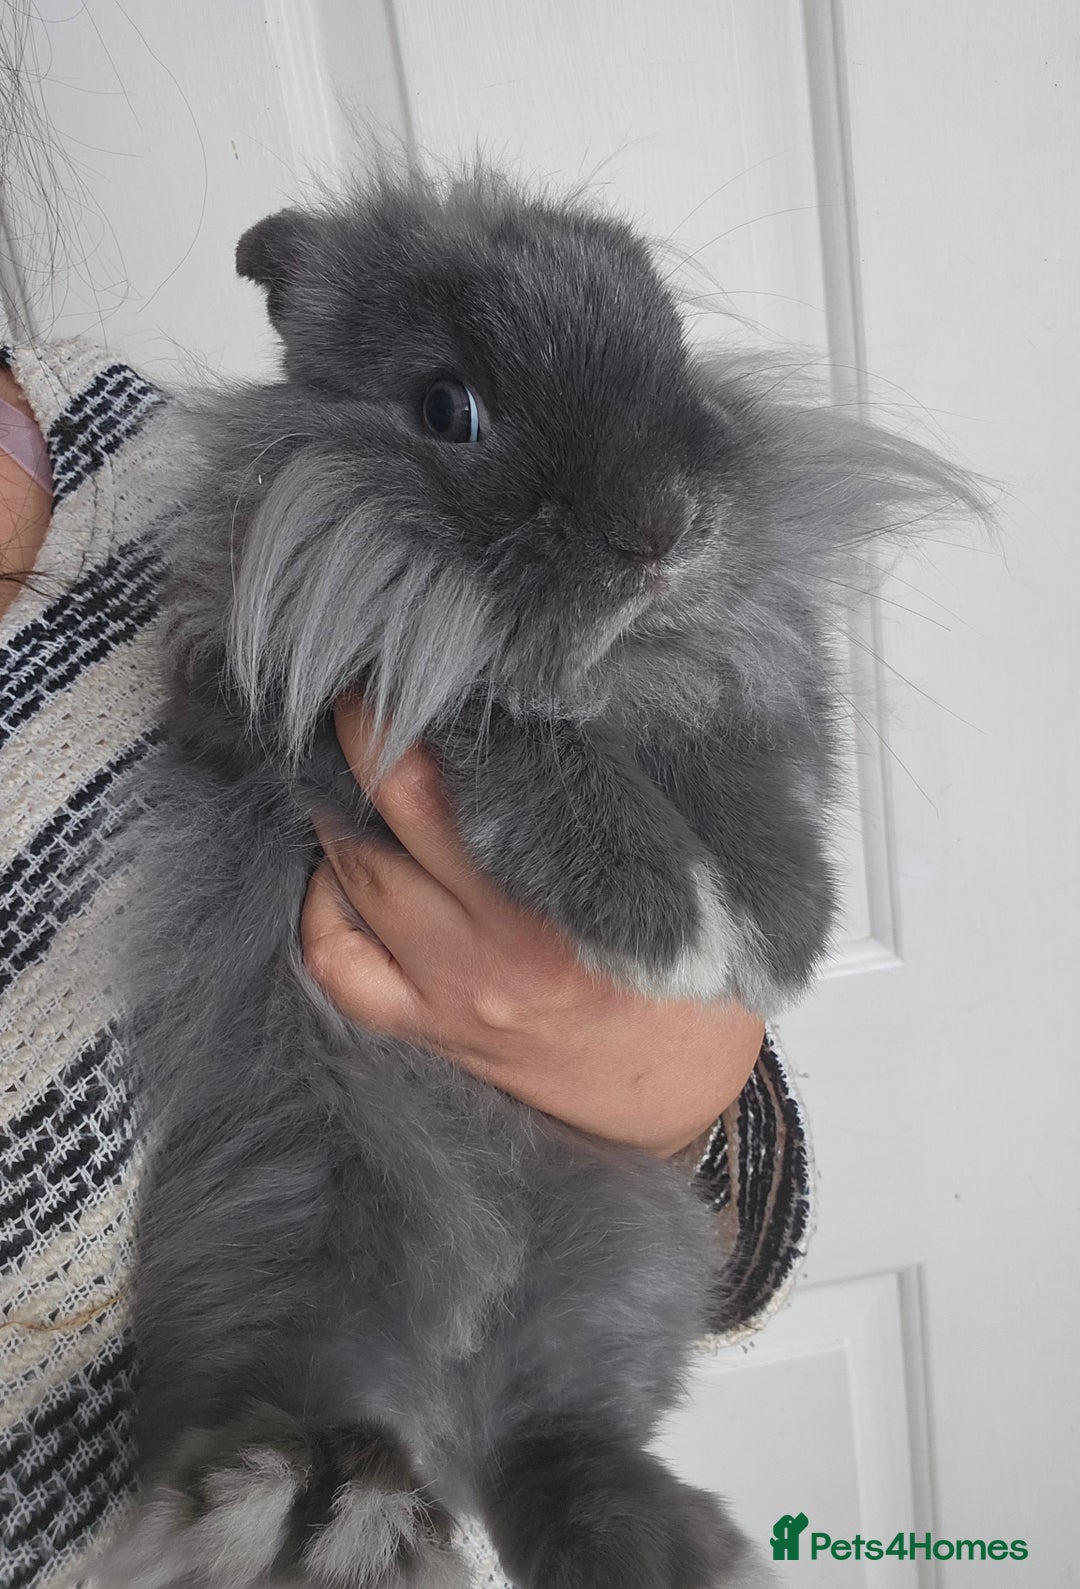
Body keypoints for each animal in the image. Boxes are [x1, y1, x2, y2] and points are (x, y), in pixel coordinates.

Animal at [105, 163, 981, 1589]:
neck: (615, 667)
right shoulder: (350, 715)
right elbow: (517, 740)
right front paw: (669, 922)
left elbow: (749, 770)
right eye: (448, 409)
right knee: (279, 1405)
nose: (664, 529)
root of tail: (454, 1369)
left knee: (557, 1444)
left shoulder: (745, 679)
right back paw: (311, 1502)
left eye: (670, 342)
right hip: (278, 1213)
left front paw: (779, 931)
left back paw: (663, 1544)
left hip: (631, 1258)